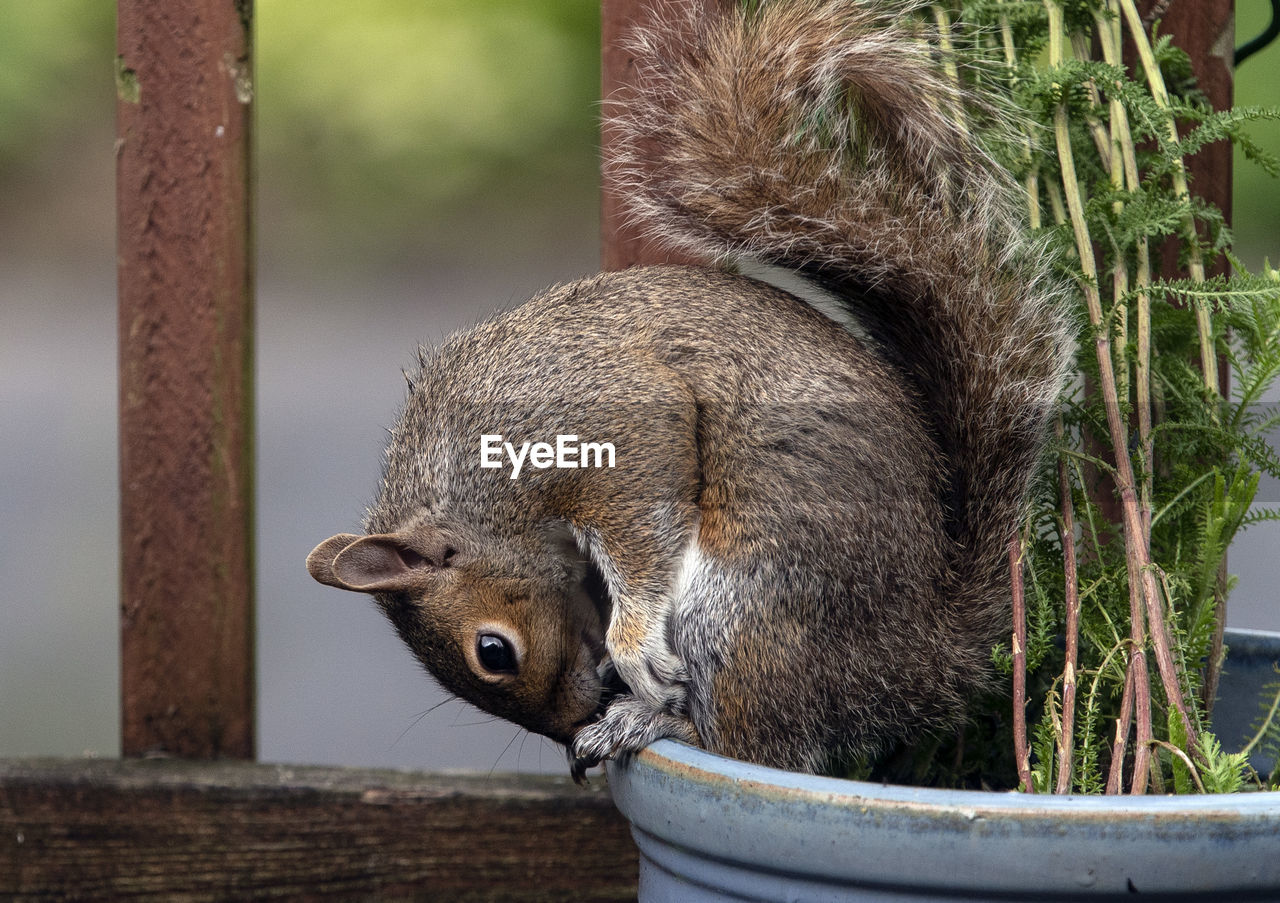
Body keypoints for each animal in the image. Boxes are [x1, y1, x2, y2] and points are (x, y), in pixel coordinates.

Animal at [307, 0, 1070, 773]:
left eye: (493, 651)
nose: (569, 725)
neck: (469, 477)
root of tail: (914, 661)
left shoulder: (600, 423)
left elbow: (642, 509)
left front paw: (633, 646)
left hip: (747, 603)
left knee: (752, 744)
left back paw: (651, 722)